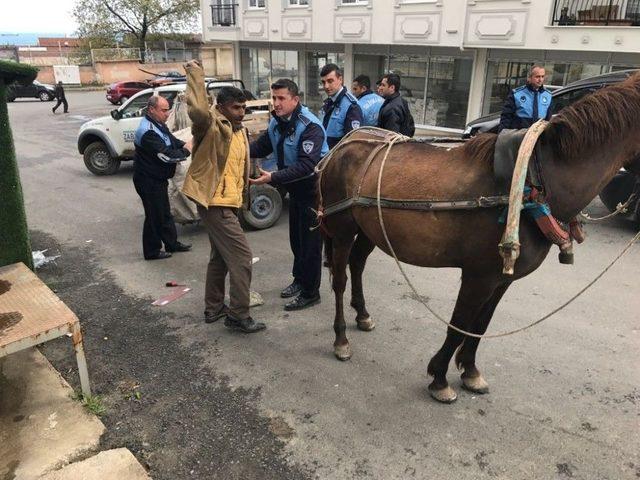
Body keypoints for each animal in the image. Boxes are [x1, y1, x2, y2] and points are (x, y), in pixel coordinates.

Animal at [318, 72, 640, 402]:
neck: (533, 181)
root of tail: (343, 145)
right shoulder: (478, 276)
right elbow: (459, 324)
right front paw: (439, 377)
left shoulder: (502, 278)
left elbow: (481, 325)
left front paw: (470, 370)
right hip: (342, 229)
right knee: (340, 278)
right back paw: (341, 339)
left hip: (369, 228)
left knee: (357, 265)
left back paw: (362, 314)